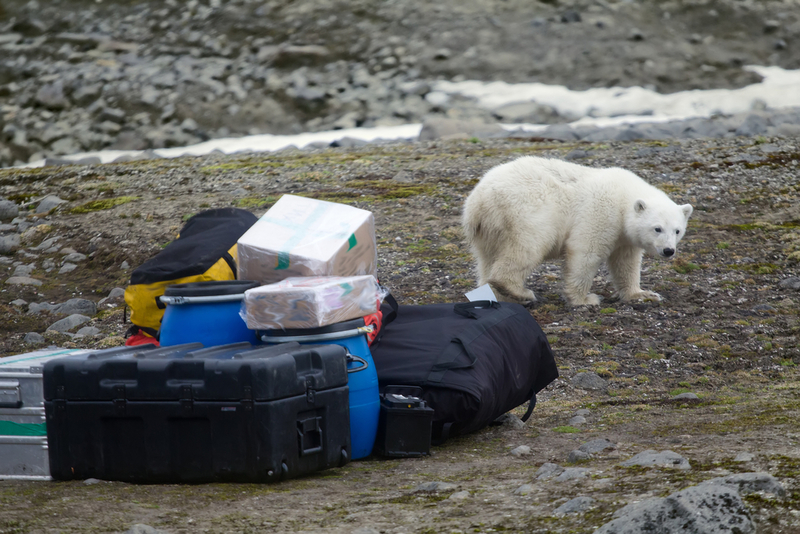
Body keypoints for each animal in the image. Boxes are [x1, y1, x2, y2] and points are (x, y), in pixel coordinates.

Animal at [462, 156, 692, 306]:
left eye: (677, 230)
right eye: (657, 228)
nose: (668, 251)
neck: (623, 197)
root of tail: (479, 201)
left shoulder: (625, 236)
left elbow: (626, 263)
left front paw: (642, 294)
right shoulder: (600, 213)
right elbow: (586, 253)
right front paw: (585, 299)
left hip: (489, 231)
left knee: (487, 259)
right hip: (525, 213)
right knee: (527, 249)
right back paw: (521, 292)